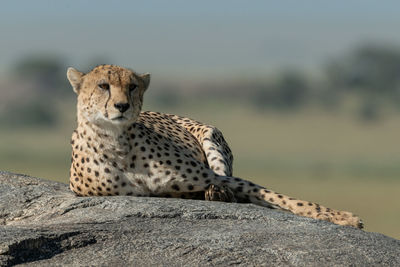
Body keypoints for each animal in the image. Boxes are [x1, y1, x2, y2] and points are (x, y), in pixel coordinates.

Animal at [68, 64, 362, 228]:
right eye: (103, 86)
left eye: (132, 87)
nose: (122, 106)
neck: (117, 142)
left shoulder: (210, 175)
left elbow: (285, 198)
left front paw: (344, 218)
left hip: (211, 138)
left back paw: (219, 194)